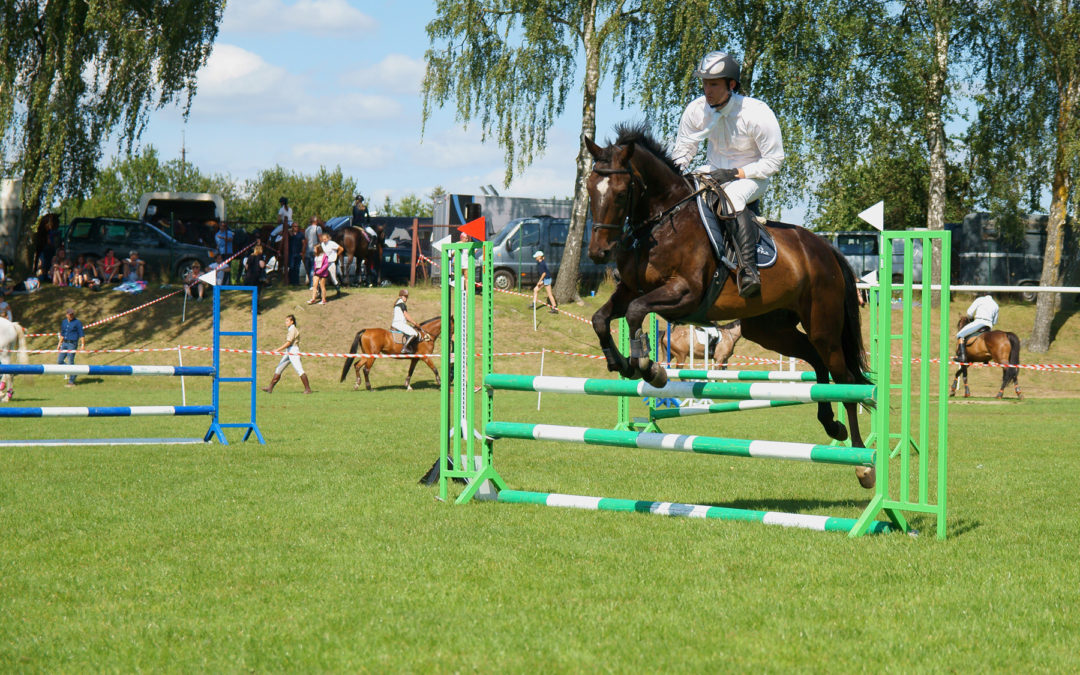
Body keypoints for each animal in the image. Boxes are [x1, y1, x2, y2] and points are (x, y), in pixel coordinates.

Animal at [587, 123, 872, 486]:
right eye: (589, 189)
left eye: (622, 193)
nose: (599, 253)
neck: (659, 222)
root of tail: (826, 249)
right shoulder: (628, 290)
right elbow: (600, 318)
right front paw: (620, 362)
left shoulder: (684, 294)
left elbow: (638, 312)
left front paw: (648, 368)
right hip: (771, 329)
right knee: (815, 360)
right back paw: (831, 425)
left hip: (823, 325)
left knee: (845, 378)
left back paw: (863, 462)